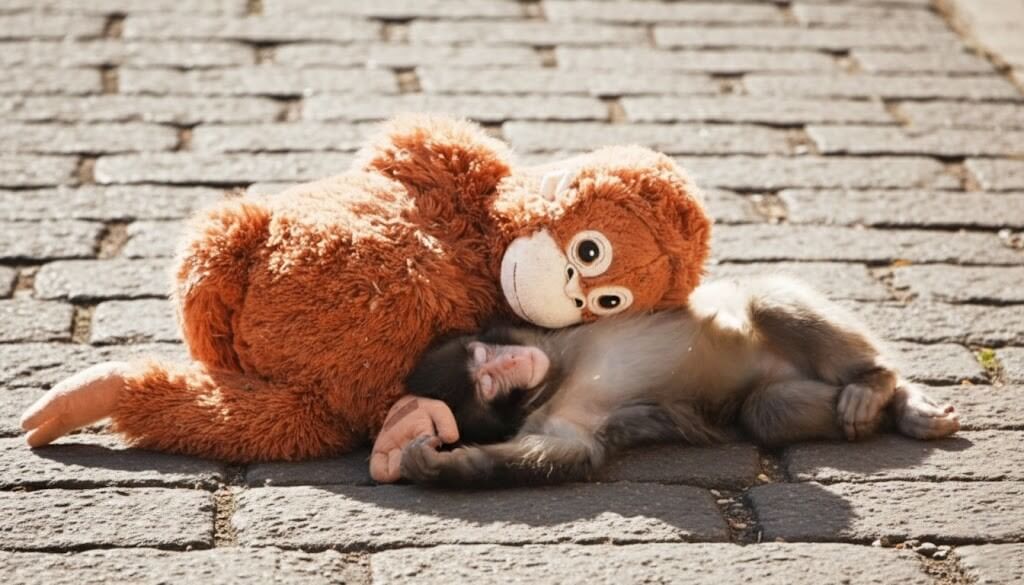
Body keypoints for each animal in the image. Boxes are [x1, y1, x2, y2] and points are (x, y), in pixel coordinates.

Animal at [400, 276, 960, 487]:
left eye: (486, 355)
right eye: (486, 382)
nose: (512, 363)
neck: (558, 373)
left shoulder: (540, 327)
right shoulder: (556, 420)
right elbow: (570, 453)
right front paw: (443, 465)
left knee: (763, 302)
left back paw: (880, 384)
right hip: (775, 390)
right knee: (765, 412)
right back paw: (885, 402)